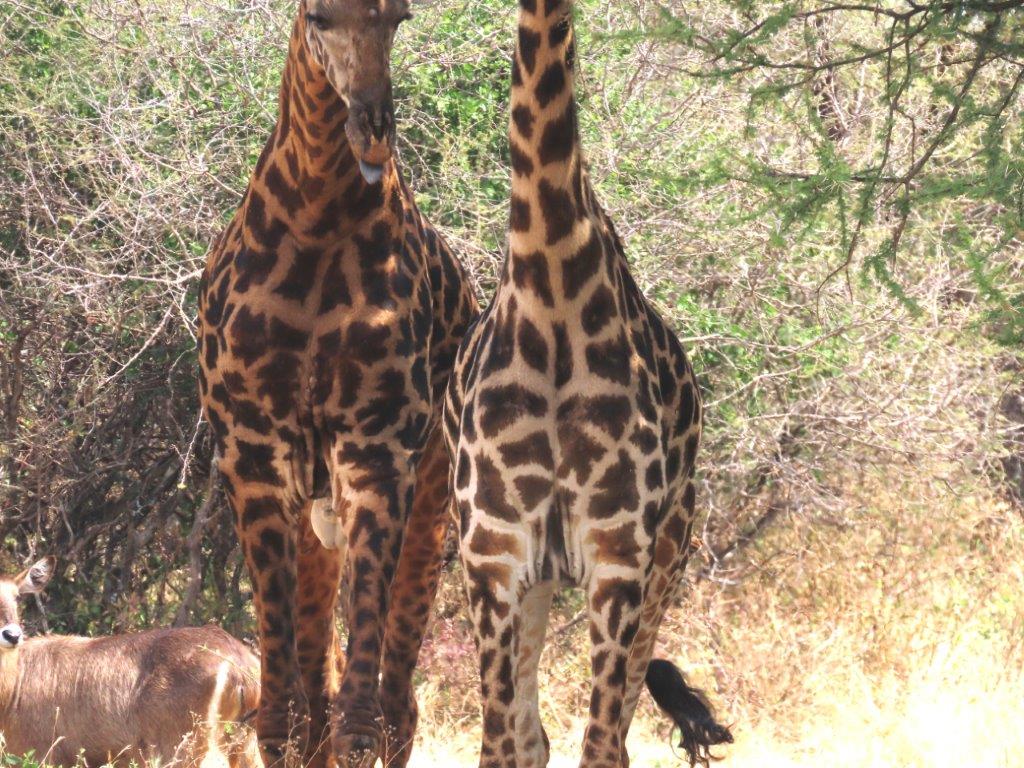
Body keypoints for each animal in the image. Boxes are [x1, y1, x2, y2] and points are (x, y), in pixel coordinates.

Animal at [197, 2, 478, 767]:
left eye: (400, 17)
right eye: (318, 16)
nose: (372, 127)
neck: (317, 221)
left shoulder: (378, 448)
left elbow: (360, 723)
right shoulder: (254, 452)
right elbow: (282, 724)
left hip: (432, 494)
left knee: (397, 702)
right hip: (314, 510)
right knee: (317, 695)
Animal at [443, 1, 733, 767]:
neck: (551, 291)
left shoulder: (619, 553)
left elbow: (601, 744)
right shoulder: (492, 555)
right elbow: (504, 744)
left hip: (670, 552)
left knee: (616, 727)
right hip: (538, 580)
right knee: (530, 734)